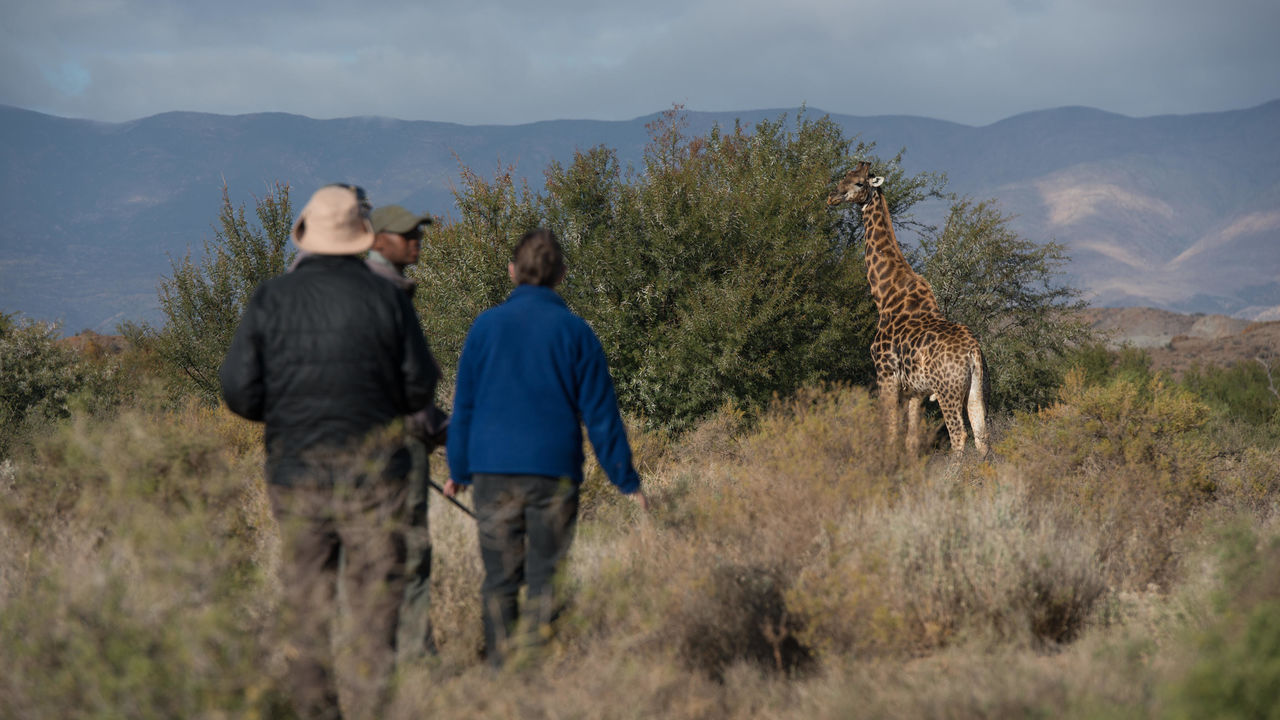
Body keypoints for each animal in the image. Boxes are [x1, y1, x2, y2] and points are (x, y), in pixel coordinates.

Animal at [829, 159, 988, 456]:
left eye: (858, 182)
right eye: (843, 177)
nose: (832, 196)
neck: (884, 295)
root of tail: (972, 351)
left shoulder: (885, 374)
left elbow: (890, 432)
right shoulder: (916, 391)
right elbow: (911, 441)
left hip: (947, 389)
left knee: (959, 434)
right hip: (975, 385)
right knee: (982, 433)